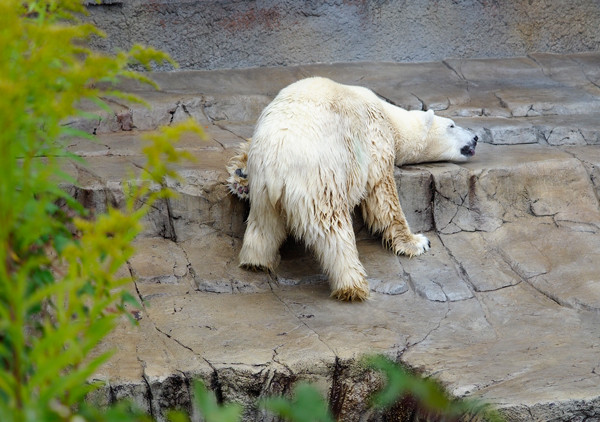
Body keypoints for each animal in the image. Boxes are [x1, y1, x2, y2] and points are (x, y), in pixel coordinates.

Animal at [226, 77, 478, 302]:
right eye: (452, 125)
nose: (476, 136)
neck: (389, 115)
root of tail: (276, 165)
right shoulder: (375, 139)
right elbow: (383, 197)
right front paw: (418, 242)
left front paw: (239, 175)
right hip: (319, 178)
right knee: (333, 228)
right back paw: (353, 286)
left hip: (264, 190)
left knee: (263, 225)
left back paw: (255, 261)